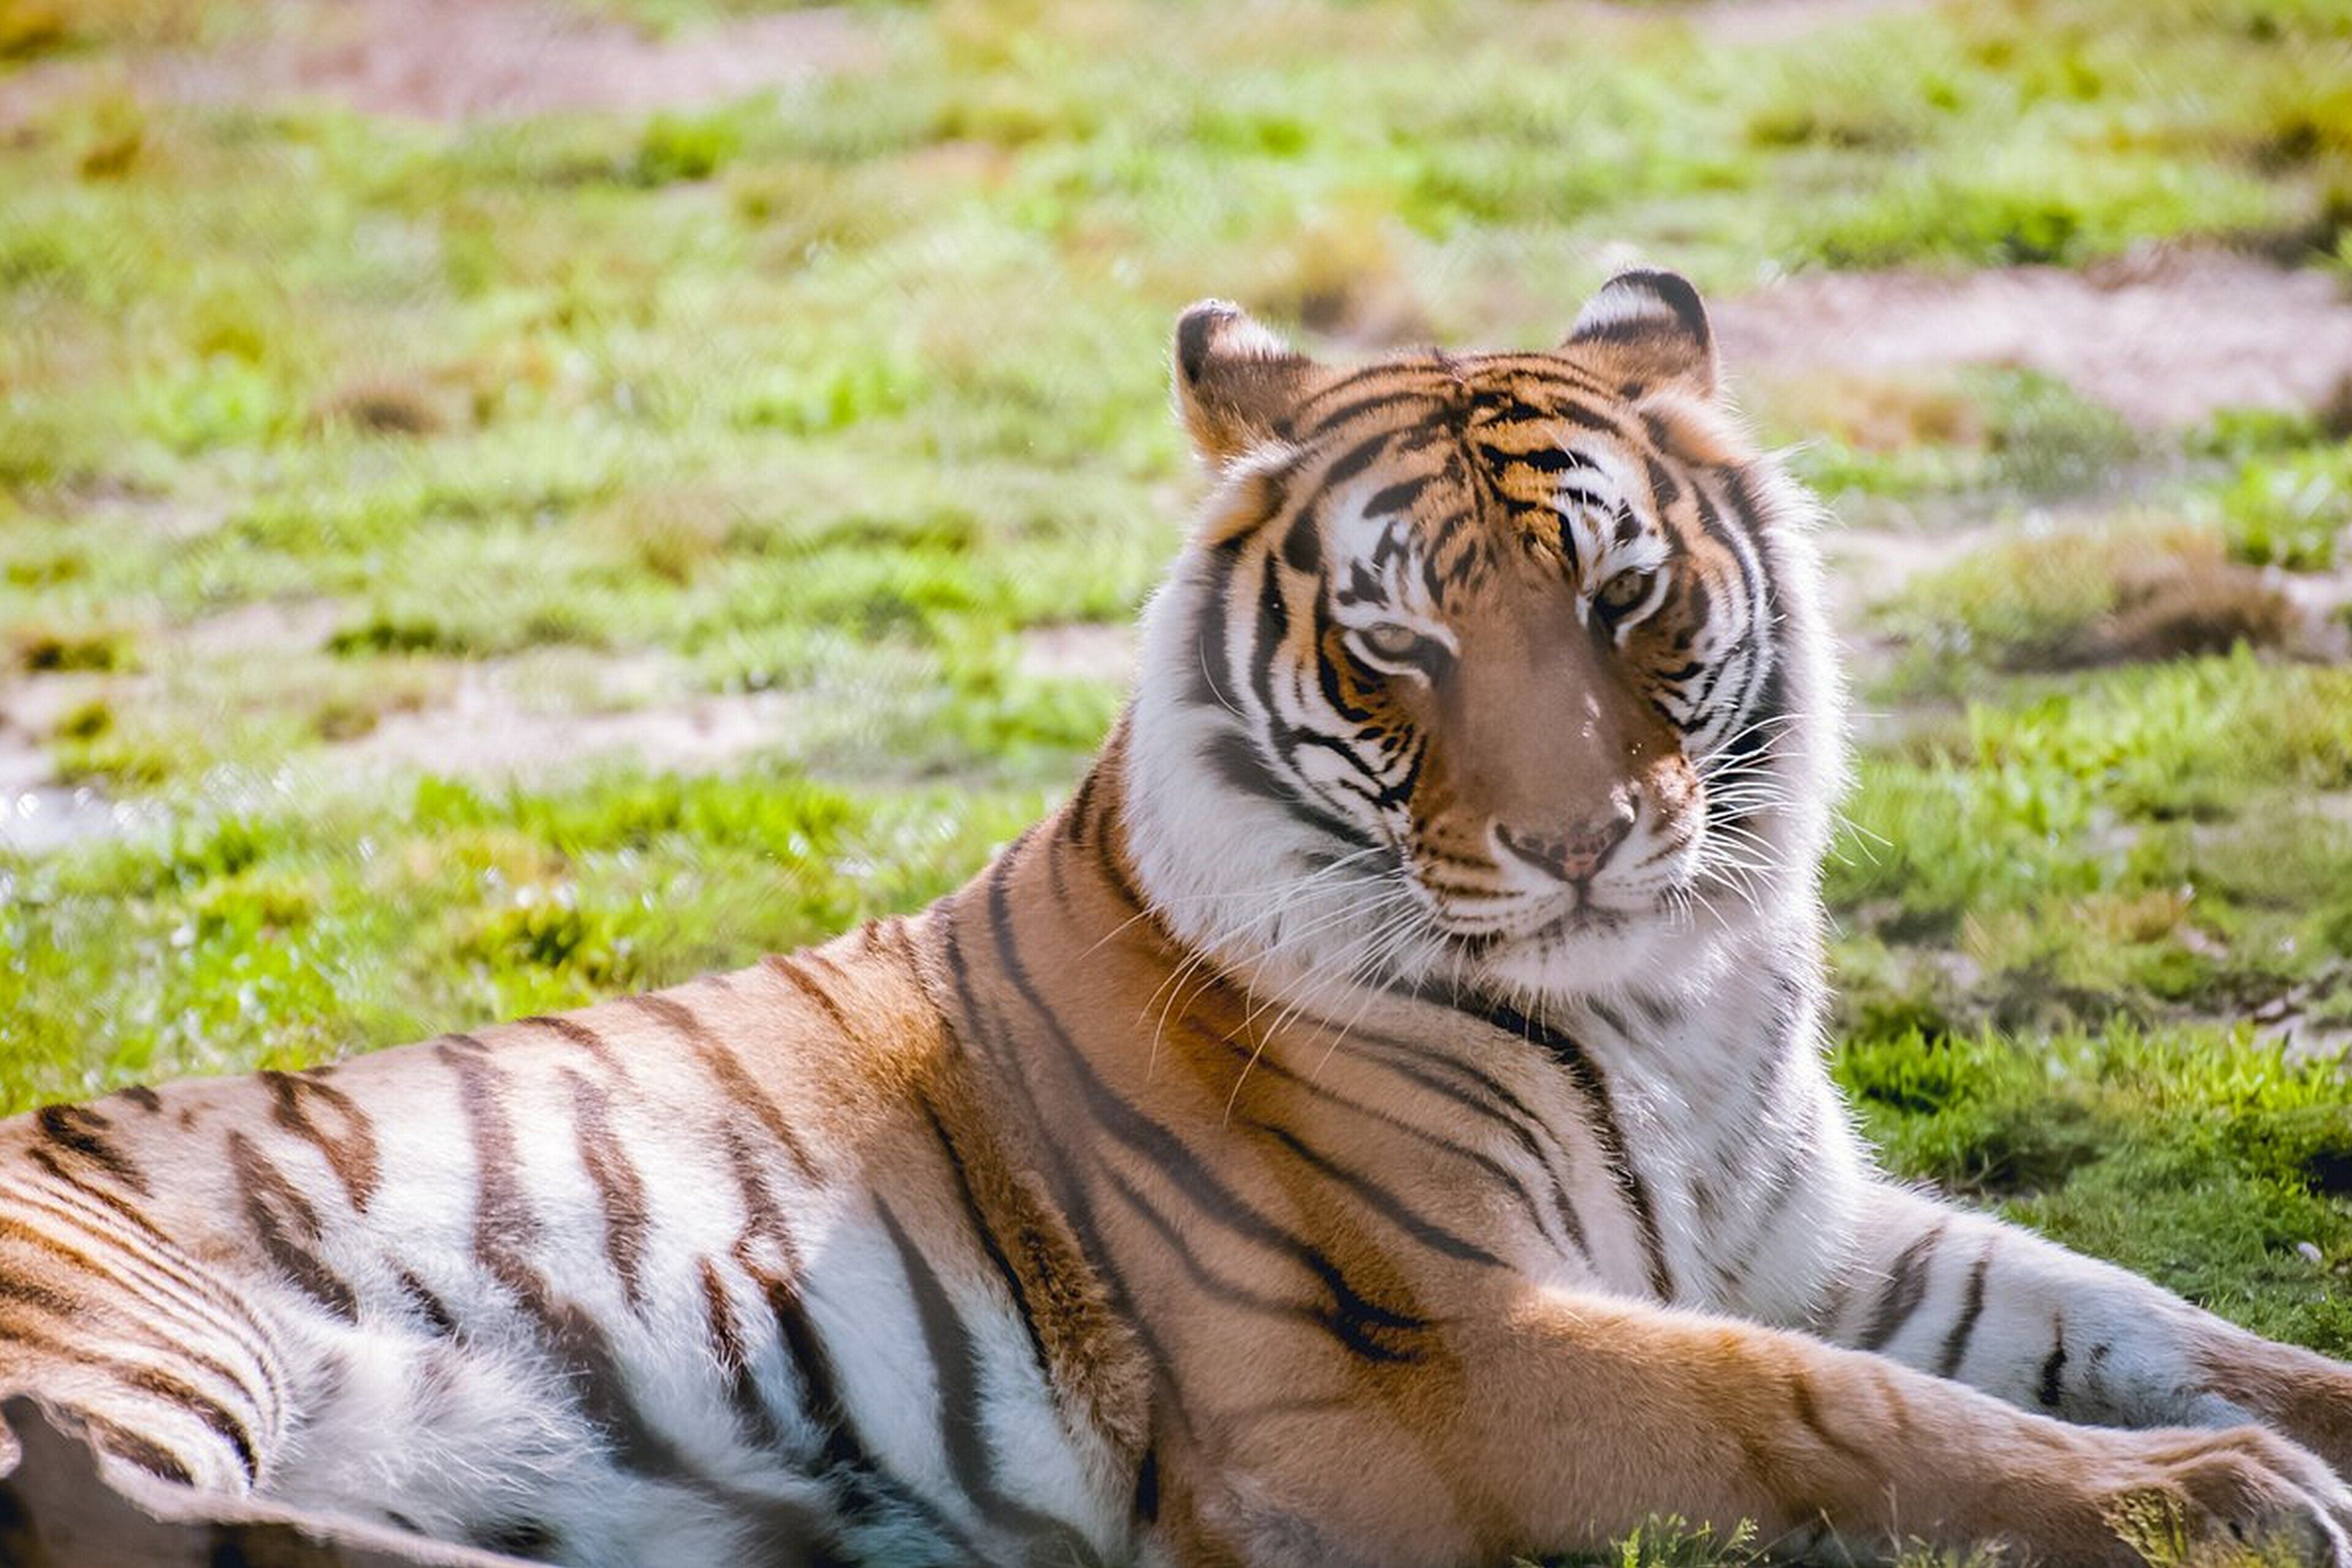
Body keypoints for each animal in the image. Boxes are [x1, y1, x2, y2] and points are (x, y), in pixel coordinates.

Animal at [3, 268, 2352, 1568]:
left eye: (1622, 599)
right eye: (1401, 651)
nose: (1583, 840)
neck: (1671, 997)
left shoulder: (1812, 1232)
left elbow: (2137, 1318)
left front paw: (2281, 1416)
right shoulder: (1420, 1349)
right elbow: (1837, 1415)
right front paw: (2217, 1503)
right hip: (145, 1329)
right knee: (113, 1518)